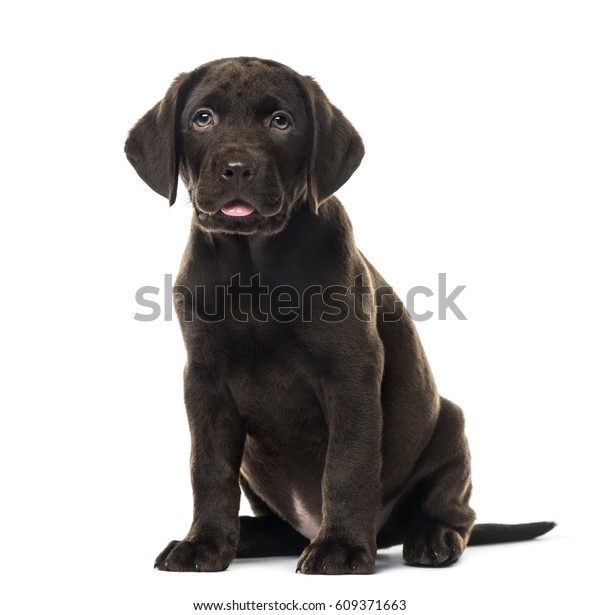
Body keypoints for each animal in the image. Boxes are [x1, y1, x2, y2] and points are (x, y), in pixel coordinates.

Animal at [125, 56, 552, 572]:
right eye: (202, 118)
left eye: (281, 121)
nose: (238, 168)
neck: (253, 264)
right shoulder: (205, 379)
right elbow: (208, 467)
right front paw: (203, 543)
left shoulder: (350, 373)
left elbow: (347, 465)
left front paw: (342, 547)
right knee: (279, 526)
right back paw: (246, 536)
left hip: (451, 427)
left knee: (455, 511)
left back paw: (430, 537)